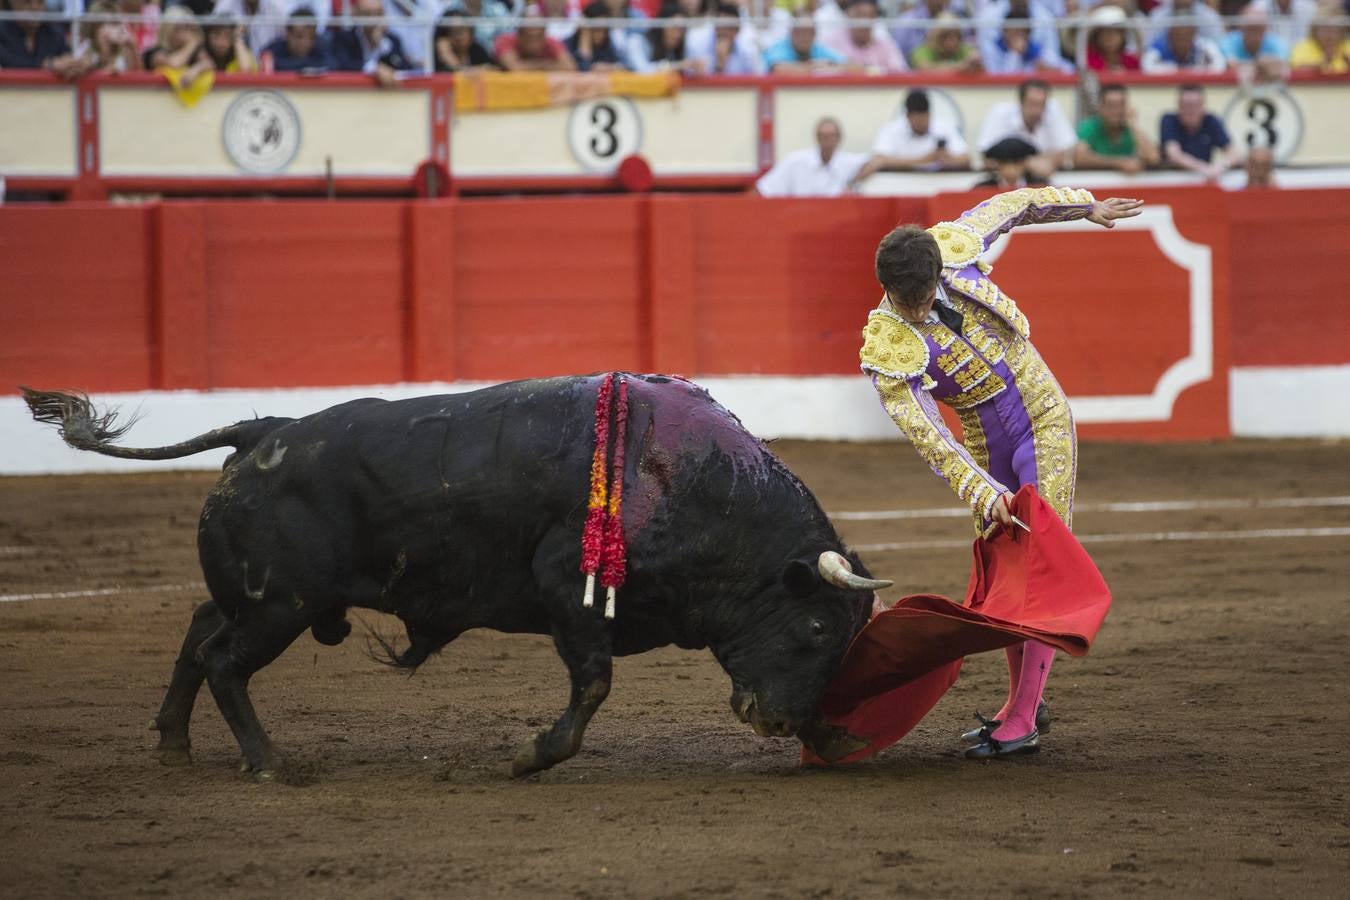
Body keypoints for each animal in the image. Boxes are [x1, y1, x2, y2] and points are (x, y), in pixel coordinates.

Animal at [23, 377, 885, 777]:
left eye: (844, 639)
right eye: (813, 627)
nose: (776, 722)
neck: (690, 482)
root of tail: (264, 429)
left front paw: (834, 734)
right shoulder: (569, 593)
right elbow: (594, 685)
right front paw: (533, 756)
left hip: (257, 595)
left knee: (199, 632)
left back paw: (174, 745)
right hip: (281, 606)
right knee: (223, 659)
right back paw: (269, 762)